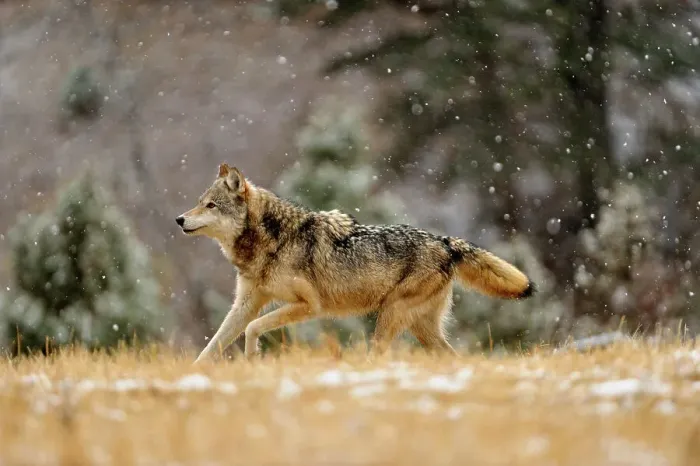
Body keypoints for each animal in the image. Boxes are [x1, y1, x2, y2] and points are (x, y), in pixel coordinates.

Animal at [176, 163, 535, 362]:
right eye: (199, 203)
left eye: (211, 205)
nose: (179, 219)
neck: (271, 241)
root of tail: (446, 242)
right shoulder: (245, 304)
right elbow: (212, 346)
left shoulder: (309, 305)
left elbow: (252, 329)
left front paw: (253, 357)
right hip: (420, 328)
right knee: (452, 357)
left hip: (390, 317)